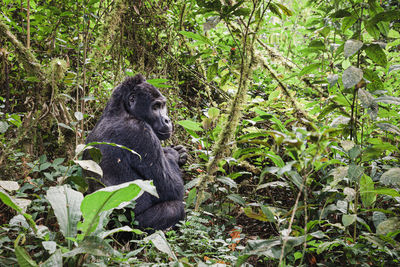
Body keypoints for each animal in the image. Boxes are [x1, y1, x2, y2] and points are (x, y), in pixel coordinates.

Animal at [84, 74, 188, 231]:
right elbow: (173, 189)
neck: (120, 109)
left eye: (163, 105)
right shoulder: (140, 131)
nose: (167, 120)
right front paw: (173, 155)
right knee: (175, 208)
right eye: (155, 107)